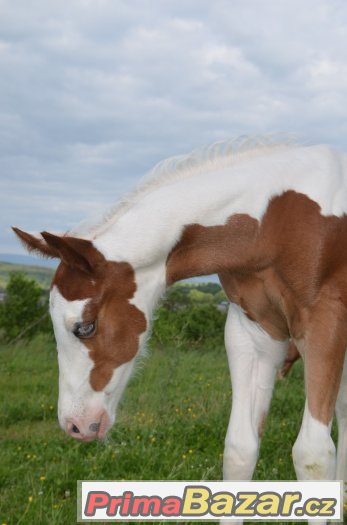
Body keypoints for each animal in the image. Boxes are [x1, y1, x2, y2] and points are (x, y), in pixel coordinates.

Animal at [14, 138, 347, 520]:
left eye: (85, 326)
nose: (74, 425)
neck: (275, 220)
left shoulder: (324, 321)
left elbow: (313, 456)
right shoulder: (253, 331)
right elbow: (240, 449)